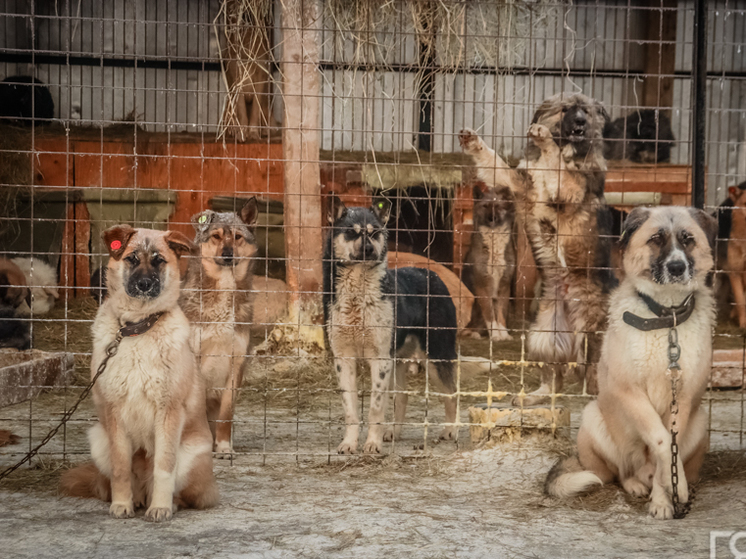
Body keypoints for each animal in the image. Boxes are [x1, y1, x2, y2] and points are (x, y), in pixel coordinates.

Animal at [59, 225, 217, 524]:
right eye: (132, 259)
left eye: (159, 261)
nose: (144, 284)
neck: (136, 327)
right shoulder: (114, 414)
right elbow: (121, 469)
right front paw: (122, 504)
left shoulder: (168, 412)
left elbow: (163, 468)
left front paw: (161, 507)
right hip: (98, 439)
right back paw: (136, 499)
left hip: (192, 453)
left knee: (184, 493)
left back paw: (168, 503)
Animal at [324, 197, 460, 456]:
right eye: (351, 232)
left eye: (374, 233)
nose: (369, 250)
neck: (357, 297)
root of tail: (432, 274)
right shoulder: (343, 360)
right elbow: (351, 410)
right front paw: (349, 443)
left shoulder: (379, 360)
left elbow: (375, 408)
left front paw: (372, 444)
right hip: (397, 362)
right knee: (402, 397)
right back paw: (393, 432)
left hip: (436, 357)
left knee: (452, 392)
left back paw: (451, 430)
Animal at [462, 184, 516, 342]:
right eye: (485, 206)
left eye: (498, 206)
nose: (492, 218)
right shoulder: (482, 285)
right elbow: (490, 314)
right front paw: (496, 335)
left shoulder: (504, 285)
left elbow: (501, 313)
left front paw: (504, 334)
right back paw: (474, 334)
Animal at [544, 206, 716, 520]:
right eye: (656, 239)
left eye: (688, 239)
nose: (677, 267)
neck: (666, 319)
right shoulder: (630, 392)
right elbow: (660, 441)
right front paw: (675, 489)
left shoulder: (683, 399)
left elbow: (668, 453)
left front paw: (666, 497)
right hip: (594, 417)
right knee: (620, 472)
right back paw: (635, 484)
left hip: (700, 421)